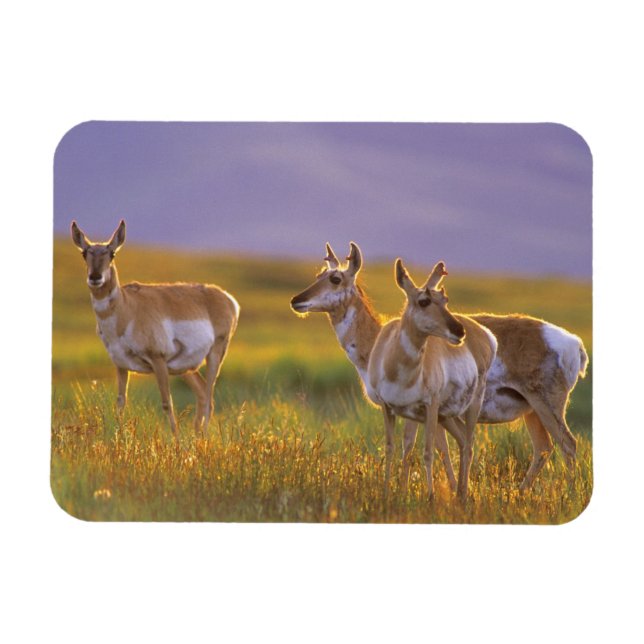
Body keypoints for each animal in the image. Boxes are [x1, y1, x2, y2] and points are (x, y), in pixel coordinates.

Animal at [71, 219, 239, 436]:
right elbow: (120, 403)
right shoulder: (121, 365)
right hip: (185, 367)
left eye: (112, 253)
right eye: (84, 253)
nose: (95, 277)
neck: (127, 309)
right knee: (203, 393)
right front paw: (118, 439)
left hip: (215, 355)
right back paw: (197, 436)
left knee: (209, 397)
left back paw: (203, 437)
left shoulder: (158, 360)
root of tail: (226, 297)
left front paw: (176, 441)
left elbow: (167, 403)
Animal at [290, 242, 588, 492]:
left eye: (335, 279)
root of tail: (573, 343)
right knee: (544, 448)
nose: (296, 300)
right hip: (531, 412)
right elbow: (440, 448)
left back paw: (568, 494)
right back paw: (520, 493)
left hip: (545, 404)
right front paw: (449, 489)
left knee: (568, 445)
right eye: (318, 275)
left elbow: (412, 446)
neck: (380, 338)